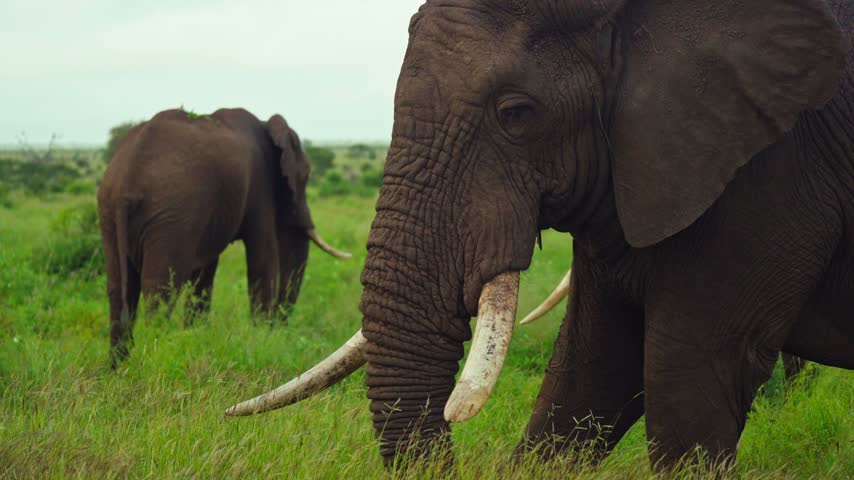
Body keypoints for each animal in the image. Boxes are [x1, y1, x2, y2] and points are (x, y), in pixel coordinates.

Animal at [98, 107, 351, 366]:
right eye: (306, 175)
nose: (280, 330)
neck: (266, 125)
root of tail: (125, 185)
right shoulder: (259, 185)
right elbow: (263, 259)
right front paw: (262, 340)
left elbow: (204, 276)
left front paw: (196, 338)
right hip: (170, 217)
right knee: (160, 291)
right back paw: (151, 360)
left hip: (110, 213)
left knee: (119, 289)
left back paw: (119, 368)